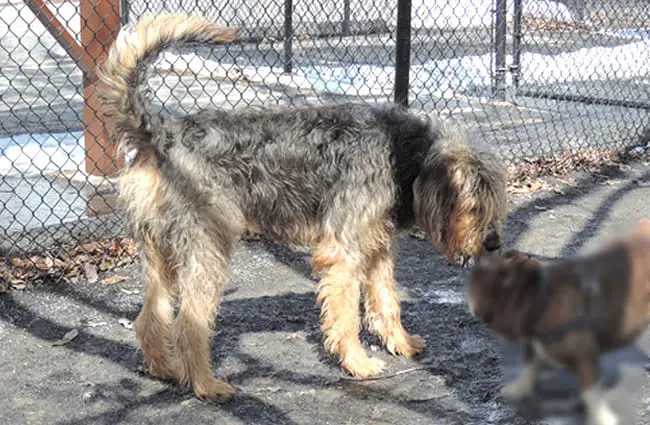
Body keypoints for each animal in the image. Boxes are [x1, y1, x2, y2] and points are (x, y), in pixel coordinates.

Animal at [98, 13, 508, 400]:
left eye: (494, 202)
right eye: (474, 204)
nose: (493, 244)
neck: (402, 152)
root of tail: (159, 134)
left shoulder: (378, 250)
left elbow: (386, 302)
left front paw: (402, 344)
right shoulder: (343, 254)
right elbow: (346, 316)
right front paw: (358, 362)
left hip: (162, 255)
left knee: (150, 318)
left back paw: (165, 368)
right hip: (206, 248)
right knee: (188, 326)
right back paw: (205, 384)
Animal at [464, 220, 648, 424]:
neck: (540, 298)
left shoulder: (585, 358)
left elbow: (591, 392)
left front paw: (601, 417)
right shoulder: (534, 345)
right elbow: (530, 367)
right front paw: (519, 389)